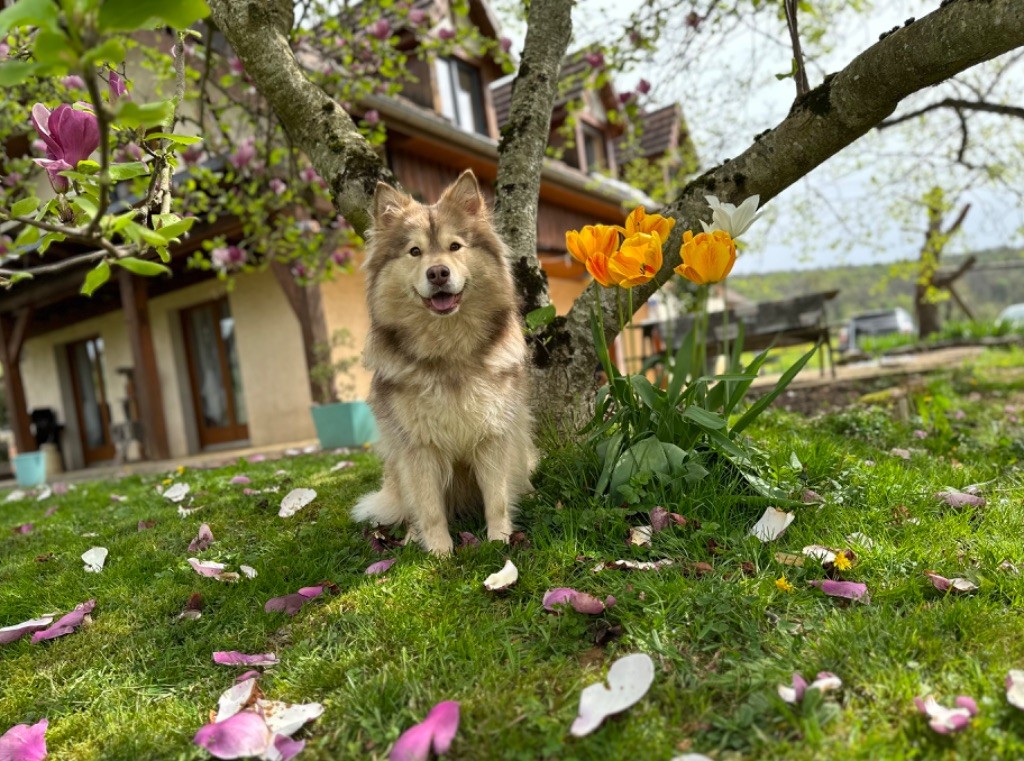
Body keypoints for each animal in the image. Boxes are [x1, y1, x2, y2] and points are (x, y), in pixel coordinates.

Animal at [352, 170, 536, 557]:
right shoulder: (418, 446)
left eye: (455, 247)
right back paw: (410, 536)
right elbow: (429, 506)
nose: (437, 273)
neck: (448, 348)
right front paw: (439, 552)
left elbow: (496, 498)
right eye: (415, 251)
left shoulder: (493, 435)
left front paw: (499, 541)